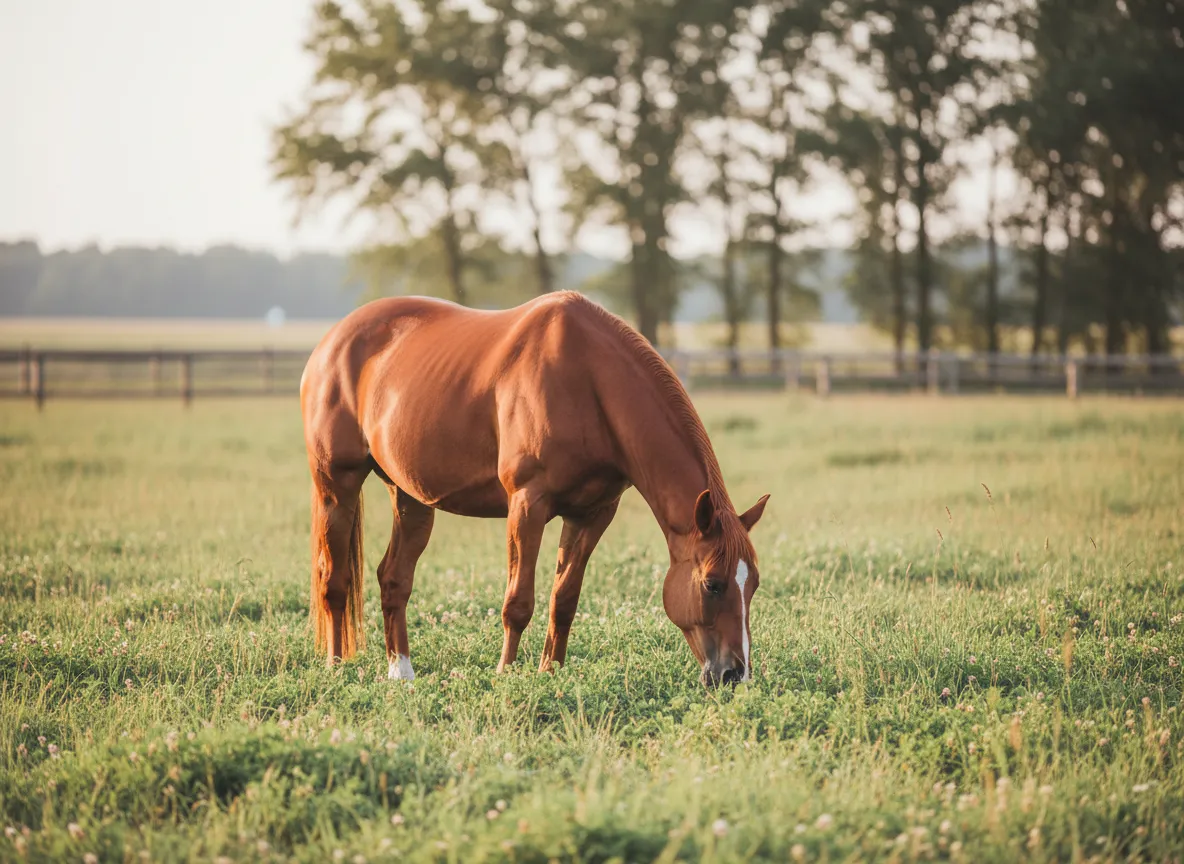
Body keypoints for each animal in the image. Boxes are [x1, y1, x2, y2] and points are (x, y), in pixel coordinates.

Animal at [300, 291, 769, 687]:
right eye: (713, 584)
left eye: (753, 585)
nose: (736, 674)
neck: (588, 381)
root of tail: (331, 343)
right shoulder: (527, 504)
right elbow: (518, 602)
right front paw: (506, 674)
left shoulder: (592, 514)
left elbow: (564, 600)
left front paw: (551, 672)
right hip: (336, 485)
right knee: (334, 579)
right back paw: (336, 667)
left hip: (411, 498)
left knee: (393, 578)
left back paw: (401, 672)